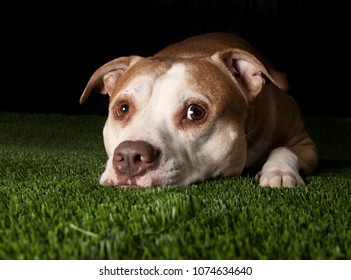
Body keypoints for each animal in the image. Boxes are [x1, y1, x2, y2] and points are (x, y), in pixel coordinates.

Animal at [80, 32, 320, 189]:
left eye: (194, 112)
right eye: (123, 108)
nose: (130, 155)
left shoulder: (304, 142)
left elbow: (284, 149)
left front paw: (278, 172)